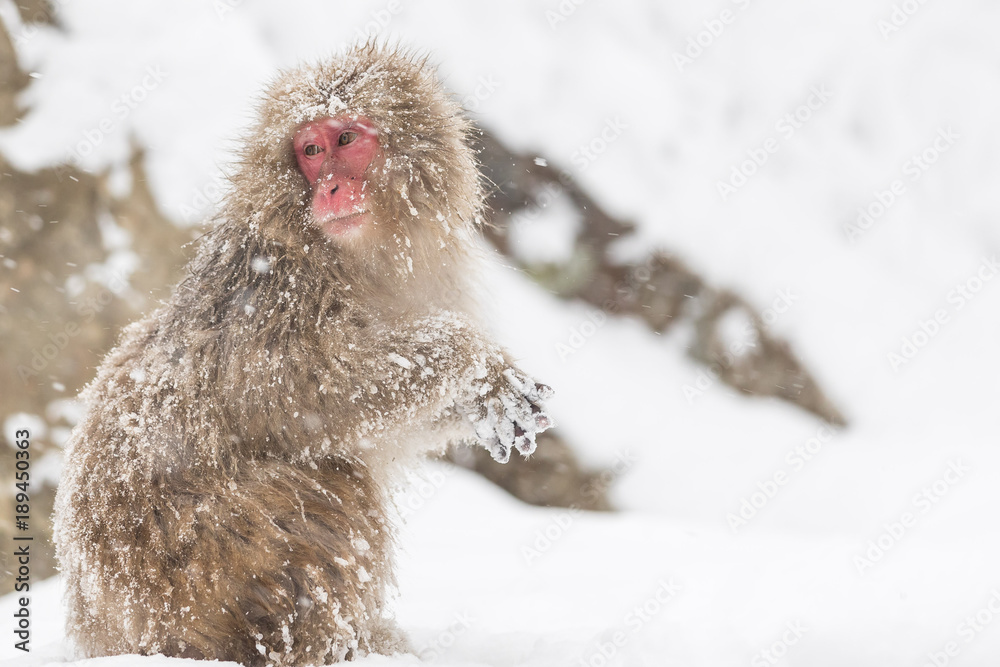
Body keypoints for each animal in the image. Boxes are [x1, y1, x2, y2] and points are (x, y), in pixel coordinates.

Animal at [52, 44, 556, 664]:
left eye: (346, 140)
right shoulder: (273, 291)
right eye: (311, 152)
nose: (330, 189)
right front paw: (470, 358)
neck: (355, 256)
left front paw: (482, 392)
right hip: (202, 567)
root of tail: (107, 631)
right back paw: (329, 645)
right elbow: (294, 391)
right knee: (334, 480)